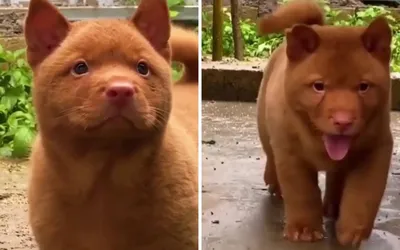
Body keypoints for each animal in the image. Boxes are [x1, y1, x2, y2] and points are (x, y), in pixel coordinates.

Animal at [256, 0, 390, 246]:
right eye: (318, 86)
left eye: (364, 87)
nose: (343, 121)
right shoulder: (290, 152)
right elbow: (302, 192)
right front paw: (305, 230)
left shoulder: (376, 148)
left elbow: (364, 194)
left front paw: (352, 231)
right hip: (264, 125)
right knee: (270, 154)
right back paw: (274, 184)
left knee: (337, 177)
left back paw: (333, 207)